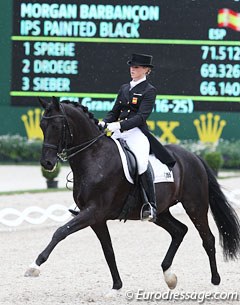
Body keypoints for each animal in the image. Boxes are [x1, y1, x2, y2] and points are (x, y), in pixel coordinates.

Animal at [25, 96, 239, 290]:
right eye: (42, 125)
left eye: (57, 126)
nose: (47, 163)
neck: (94, 157)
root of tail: (194, 156)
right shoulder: (96, 218)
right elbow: (108, 250)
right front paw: (117, 286)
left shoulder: (93, 212)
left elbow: (61, 232)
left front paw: (34, 266)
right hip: (160, 211)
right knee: (179, 231)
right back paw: (169, 276)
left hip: (195, 205)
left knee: (207, 238)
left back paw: (215, 281)